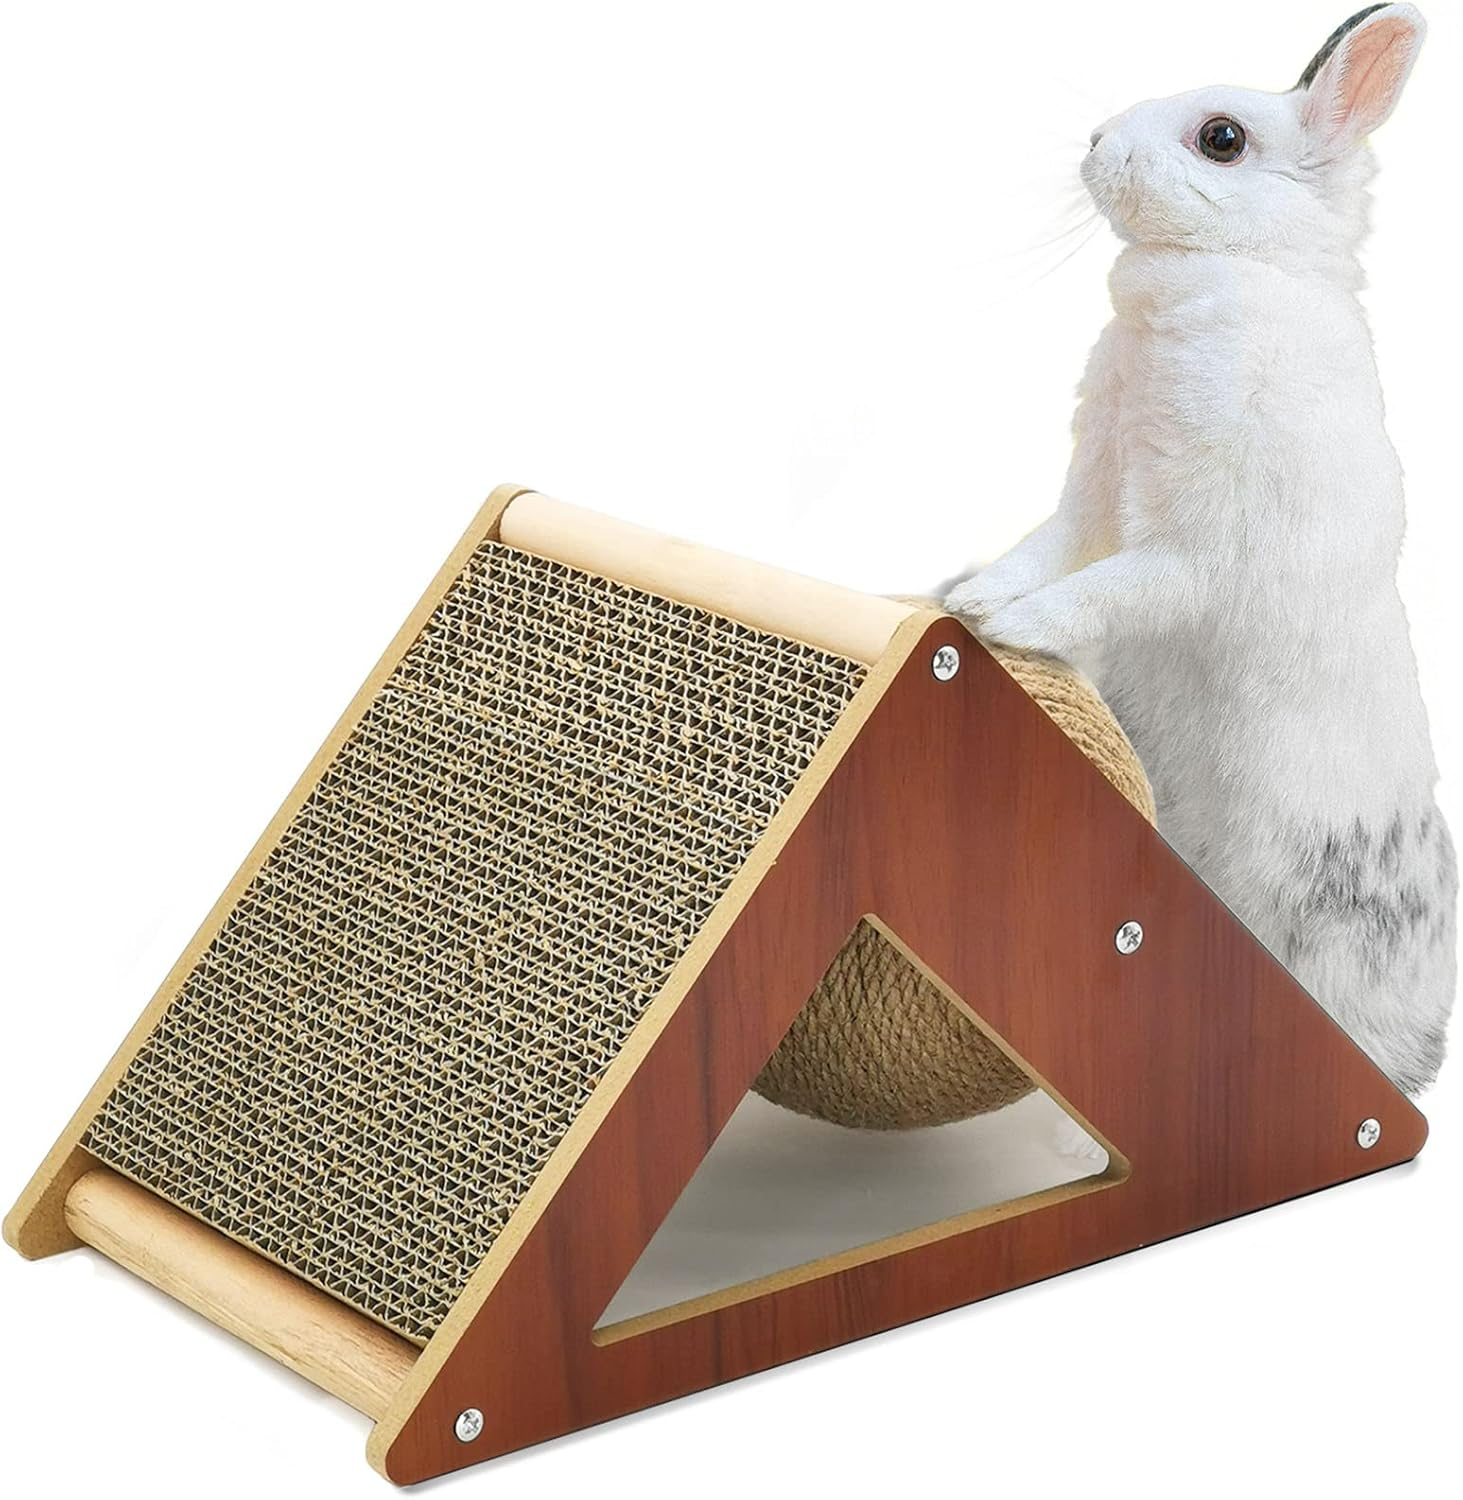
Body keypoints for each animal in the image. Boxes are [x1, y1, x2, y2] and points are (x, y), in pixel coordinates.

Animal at [945, 4, 1456, 1094]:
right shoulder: (1090, 493)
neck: (1236, 271)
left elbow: (1112, 586)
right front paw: (968, 598)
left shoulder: (1197, 556)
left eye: (1220, 139)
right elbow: (1046, 547)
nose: (1098, 140)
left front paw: (1015, 624)